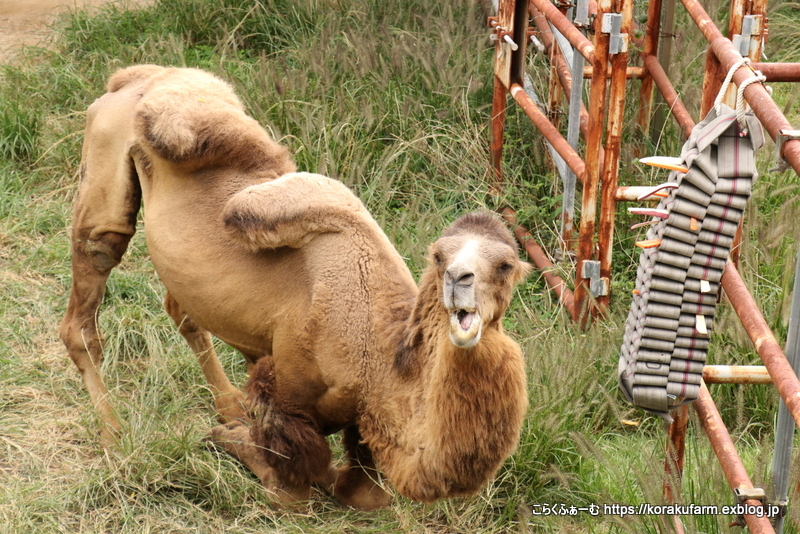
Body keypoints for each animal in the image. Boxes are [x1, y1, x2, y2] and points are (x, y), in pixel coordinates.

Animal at [61, 67, 532, 510]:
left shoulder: (359, 423)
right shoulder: (289, 395)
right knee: (89, 291)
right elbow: (293, 488)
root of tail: (131, 78)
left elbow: (361, 492)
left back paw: (227, 403)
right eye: (438, 257)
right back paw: (114, 433)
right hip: (104, 174)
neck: (375, 353)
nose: (459, 280)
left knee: (183, 309)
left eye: (506, 265)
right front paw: (229, 439)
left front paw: (236, 427)